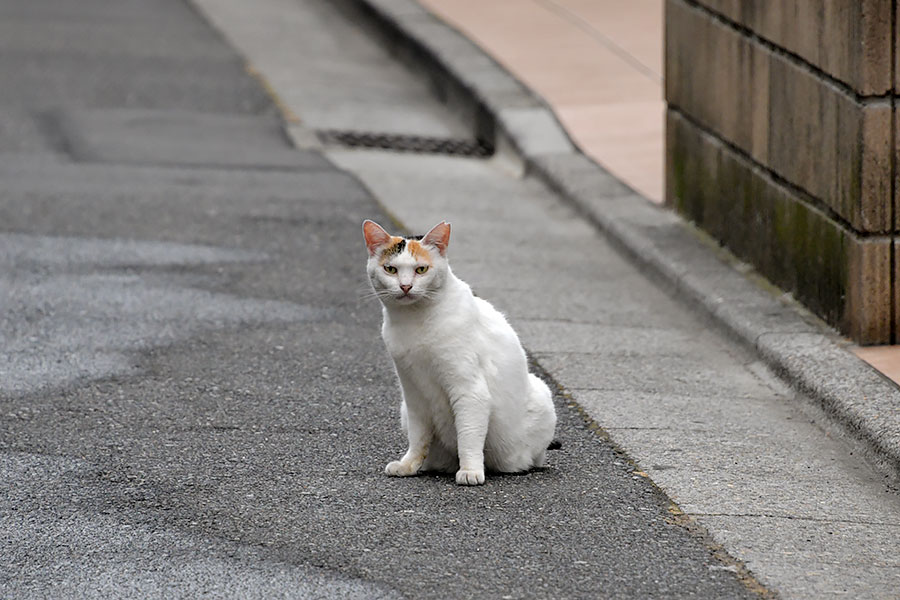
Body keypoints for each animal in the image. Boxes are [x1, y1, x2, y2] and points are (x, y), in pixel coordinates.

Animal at [362, 218, 552, 486]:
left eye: (421, 270)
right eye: (391, 269)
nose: (406, 286)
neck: (414, 322)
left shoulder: (470, 391)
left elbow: (469, 435)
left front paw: (471, 470)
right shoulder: (413, 393)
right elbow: (418, 436)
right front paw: (409, 464)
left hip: (541, 394)